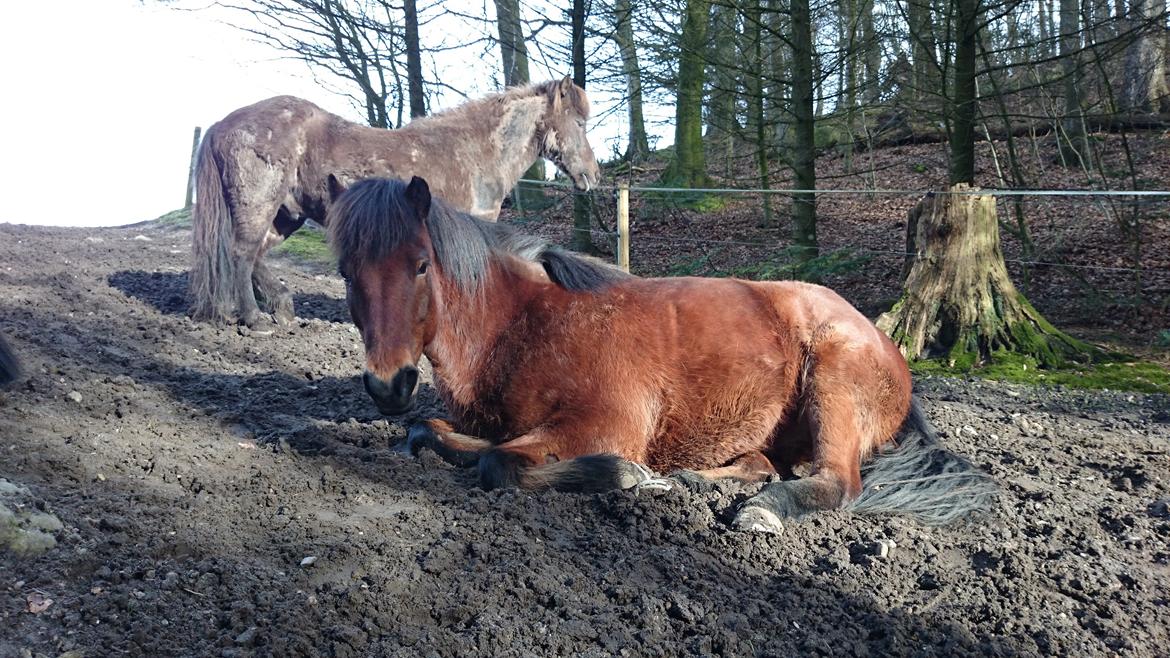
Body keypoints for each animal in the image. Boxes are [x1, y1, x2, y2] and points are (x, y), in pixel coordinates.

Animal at [189, 75, 603, 325]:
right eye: (580, 123)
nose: (593, 175)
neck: (474, 151)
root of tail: (222, 124)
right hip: (258, 205)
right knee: (242, 254)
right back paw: (255, 318)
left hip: (286, 214)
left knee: (255, 255)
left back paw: (281, 306)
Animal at [329, 177, 996, 533]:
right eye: (345, 270)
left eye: (420, 265)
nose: (387, 385)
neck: (524, 326)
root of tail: (886, 345)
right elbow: (435, 433)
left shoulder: (603, 424)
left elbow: (498, 463)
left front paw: (625, 476)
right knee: (762, 463)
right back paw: (693, 479)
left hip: (831, 386)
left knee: (834, 482)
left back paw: (758, 510)